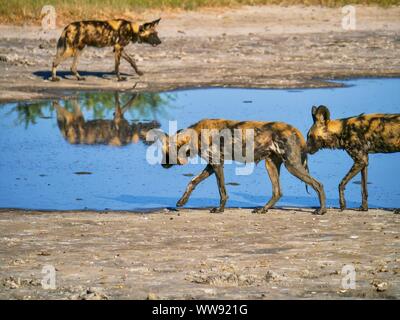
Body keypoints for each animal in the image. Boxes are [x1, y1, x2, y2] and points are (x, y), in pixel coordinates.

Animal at [158, 119, 326, 214]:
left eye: (166, 153)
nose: (162, 165)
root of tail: (295, 130)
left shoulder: (217, 165)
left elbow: (222, 191)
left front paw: (220, 210)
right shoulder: (212, 166)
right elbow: (192, 182)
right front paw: (182, 201)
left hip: (292, 166)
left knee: (318, 184)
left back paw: (322, 210)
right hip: (271, 165)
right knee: (277, 192)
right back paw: (263, 209)